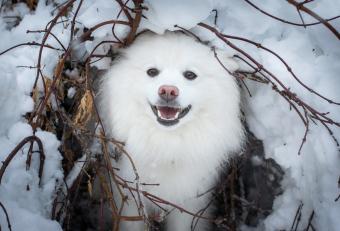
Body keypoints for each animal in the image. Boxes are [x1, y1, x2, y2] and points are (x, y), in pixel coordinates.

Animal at [99, 32, 243, 231]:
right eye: (152, 72)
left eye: (190, 75)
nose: (168, 90)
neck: (166, 146)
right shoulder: (130, 199)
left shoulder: (189, 204)